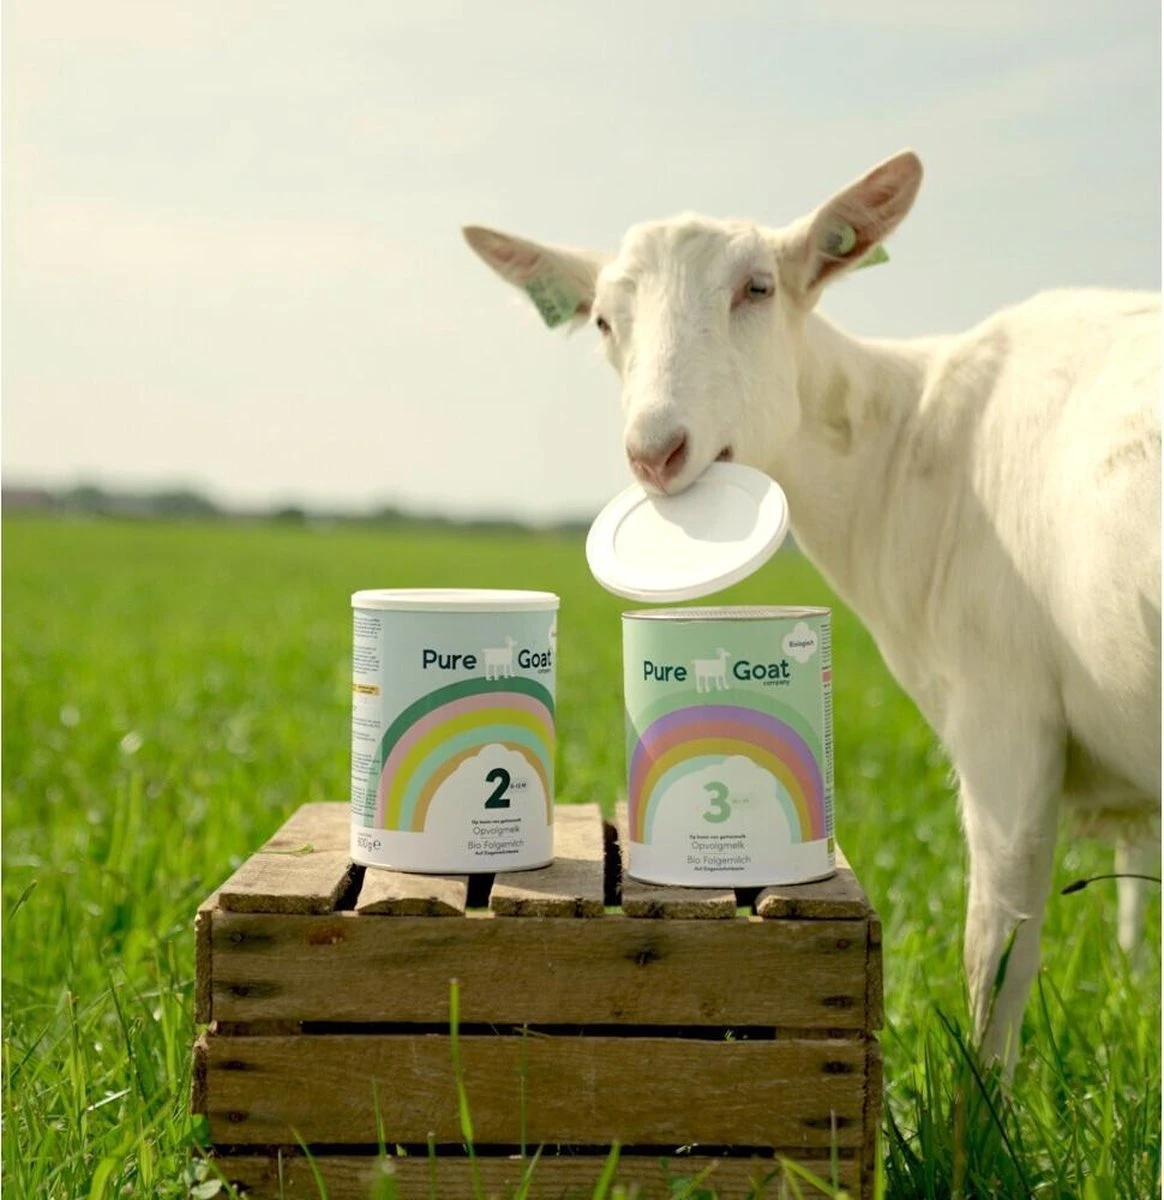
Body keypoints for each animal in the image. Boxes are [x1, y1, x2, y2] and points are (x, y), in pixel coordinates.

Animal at [464, 150, 1161, 1069]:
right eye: (606, 321)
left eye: (757, 287)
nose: (656, 452)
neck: (911, 443)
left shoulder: (1003, 718)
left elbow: (996, 958)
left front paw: (978, 1114)